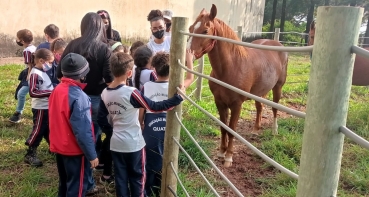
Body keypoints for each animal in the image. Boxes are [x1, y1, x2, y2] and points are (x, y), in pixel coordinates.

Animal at [187, 3, 288, 167]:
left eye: (205, 30)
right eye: (190, 28)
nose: (187, 57)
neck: (232, 66)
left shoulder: (236, 105)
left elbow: (232, 129)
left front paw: (228, 157)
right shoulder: (220, 103)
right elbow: (223, 128)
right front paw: (221, 153)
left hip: (277, 87)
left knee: (274, 108)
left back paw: (274, 130)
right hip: (260, 92)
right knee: (260, 107)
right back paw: (255, 130)